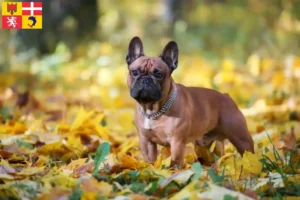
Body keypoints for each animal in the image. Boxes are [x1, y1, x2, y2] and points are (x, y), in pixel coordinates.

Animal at [125, 36, 254, 167]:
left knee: (248, 153)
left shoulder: (177, 141)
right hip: (202, 144)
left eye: (159, 74)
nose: (145, 80)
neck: (152, 110)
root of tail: (226, 96)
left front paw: (174, 170)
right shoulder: (146, 141)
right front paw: (151, 168)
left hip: (241, 138)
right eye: (134, 72)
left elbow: (175, 161)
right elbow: (150, 160)